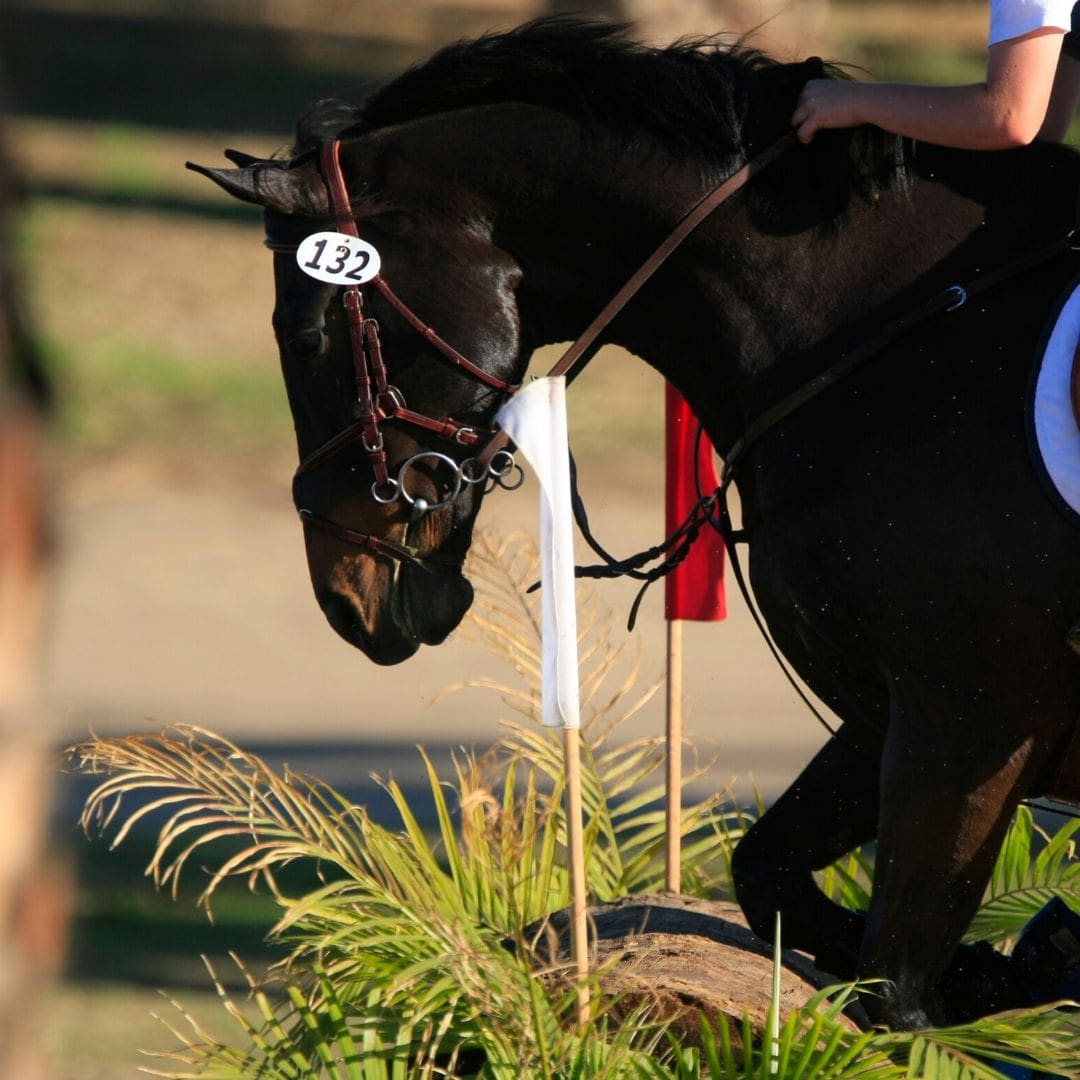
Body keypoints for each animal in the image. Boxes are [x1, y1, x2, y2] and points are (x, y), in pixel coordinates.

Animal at [191, 18, 1080, 1030]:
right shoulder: (886, 711)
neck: (890, 339)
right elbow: (771, 878)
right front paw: (1018, 962)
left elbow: (893, 995)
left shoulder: (964, 725)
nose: (347, 600)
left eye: (305, 339)